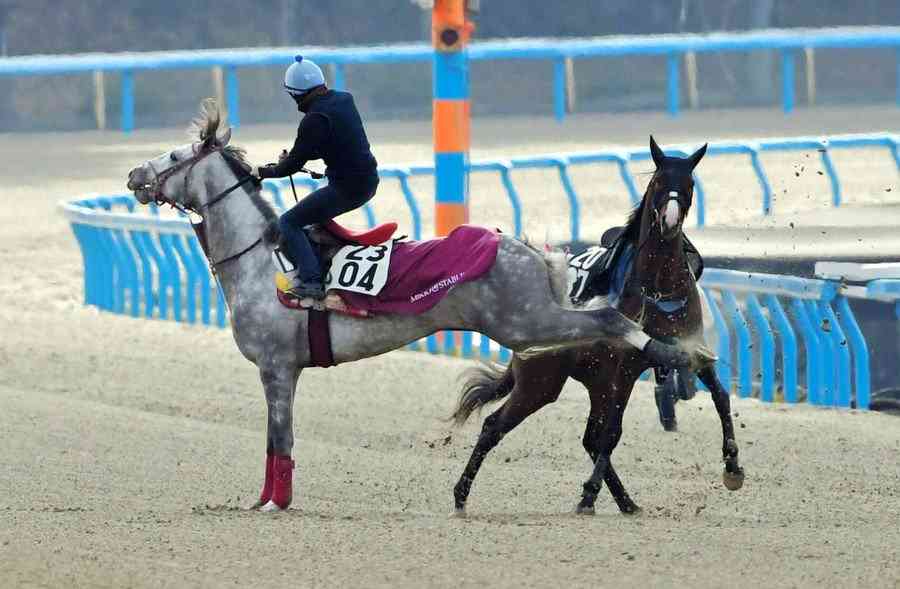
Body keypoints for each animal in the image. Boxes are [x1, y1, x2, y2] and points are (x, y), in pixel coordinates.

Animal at [124, 100, 715, 512]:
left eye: (174, 156)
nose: (134, 176)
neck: (260, 258)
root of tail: (525, 248)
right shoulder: (283, 370)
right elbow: (276, 440)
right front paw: (266, 500)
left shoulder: (276, 367)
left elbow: (280, 438)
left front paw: (275, 502)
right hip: (532, 329)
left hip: (527, 324)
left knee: (611, 320)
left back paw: (670, 353)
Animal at [450, 137, 745, 516]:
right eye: (658, 182)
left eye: (689, 184)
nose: (669, 221)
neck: (660, 287)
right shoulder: (626, 368)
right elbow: (613, 433)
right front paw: (588, 493)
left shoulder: (690, 349)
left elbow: (722, 398)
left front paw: (733, 466)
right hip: (543, 381)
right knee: (494, 427)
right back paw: (461, 496)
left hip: (594, 382)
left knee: (590, 438)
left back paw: (626, 501)